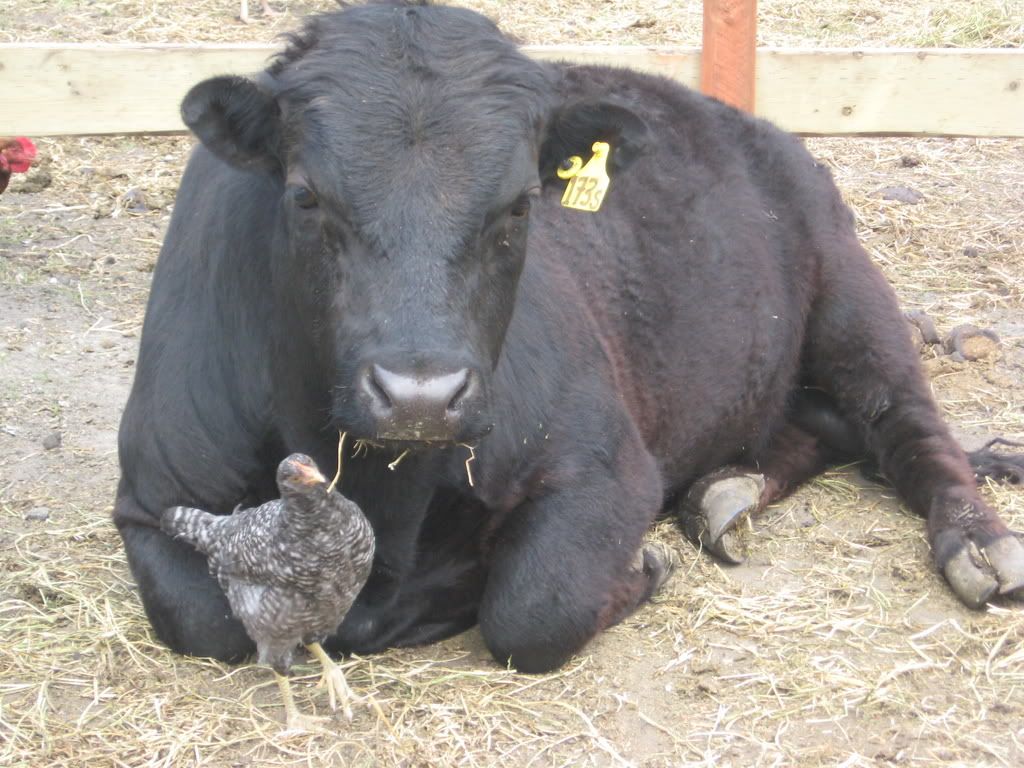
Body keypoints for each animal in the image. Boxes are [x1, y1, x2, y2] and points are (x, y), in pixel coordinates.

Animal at [114, 0, 1024, 675]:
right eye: (305, 196)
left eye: (520, 204)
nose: (420, 396)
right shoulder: (151, 498)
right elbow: (201, 619)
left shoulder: (606, 466)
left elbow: (534, 608)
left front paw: (641, 570)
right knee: (827, 427)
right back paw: (727, 492)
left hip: (849, 288)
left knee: (905, 424)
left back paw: (979, 548)